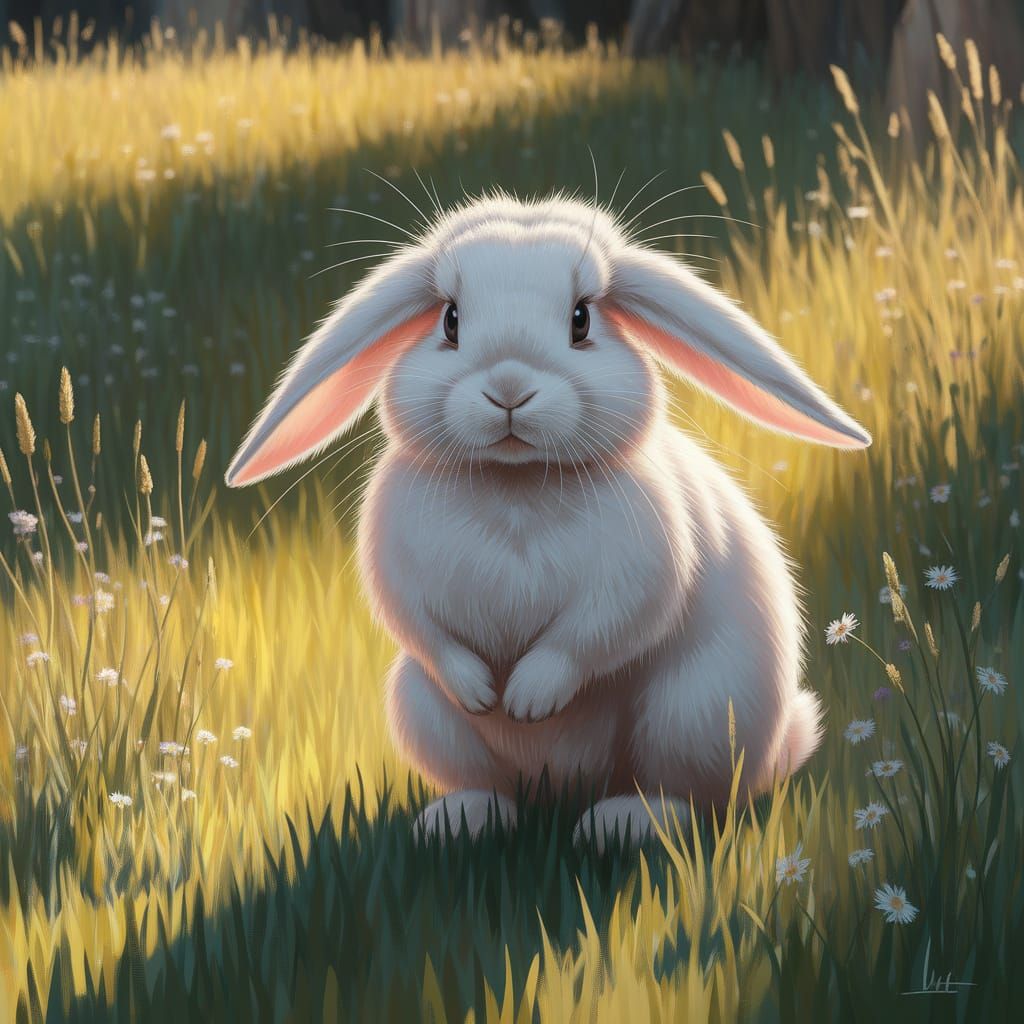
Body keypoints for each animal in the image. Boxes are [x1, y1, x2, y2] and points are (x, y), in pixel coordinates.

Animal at [225, 192, 870, 846]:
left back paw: (620, 825)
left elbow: (591, 637)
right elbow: (424, 631)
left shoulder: (639, 575)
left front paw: (527, 701)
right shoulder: (398, 579)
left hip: (695, 712)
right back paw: (460, 820)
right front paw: (482, 693)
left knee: (694, 798)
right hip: (419, 707)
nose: (509, 386)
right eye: (450, 321)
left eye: (581, 320)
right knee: (491, 782)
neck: (517, 485)